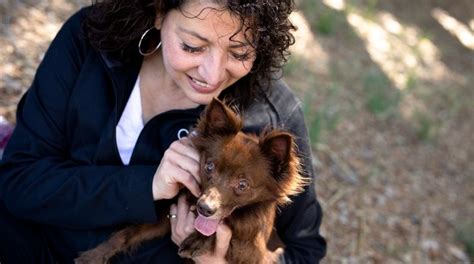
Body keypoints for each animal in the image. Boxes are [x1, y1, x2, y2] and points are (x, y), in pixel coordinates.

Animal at [76, 98, 306, 262]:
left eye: (243, 185)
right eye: (209, 166)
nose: (205, 208)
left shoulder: (256, 253)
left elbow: (229, 231)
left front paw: (198, 240)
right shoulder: (165, 221)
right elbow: (127, 233)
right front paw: (94, 255)